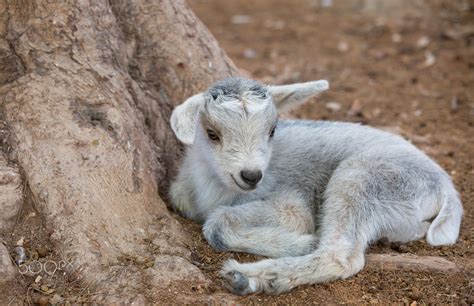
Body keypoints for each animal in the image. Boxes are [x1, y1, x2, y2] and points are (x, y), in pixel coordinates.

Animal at [169, 77, 462, 296]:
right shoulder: (180, 193)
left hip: (364, 179)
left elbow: (219, 223)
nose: (251, 175)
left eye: (272, 131)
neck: (215, 188)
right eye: (212, 134)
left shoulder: (291, 203)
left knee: (341, 256)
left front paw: (304, 241)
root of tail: (445, 185)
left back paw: (252, 277)